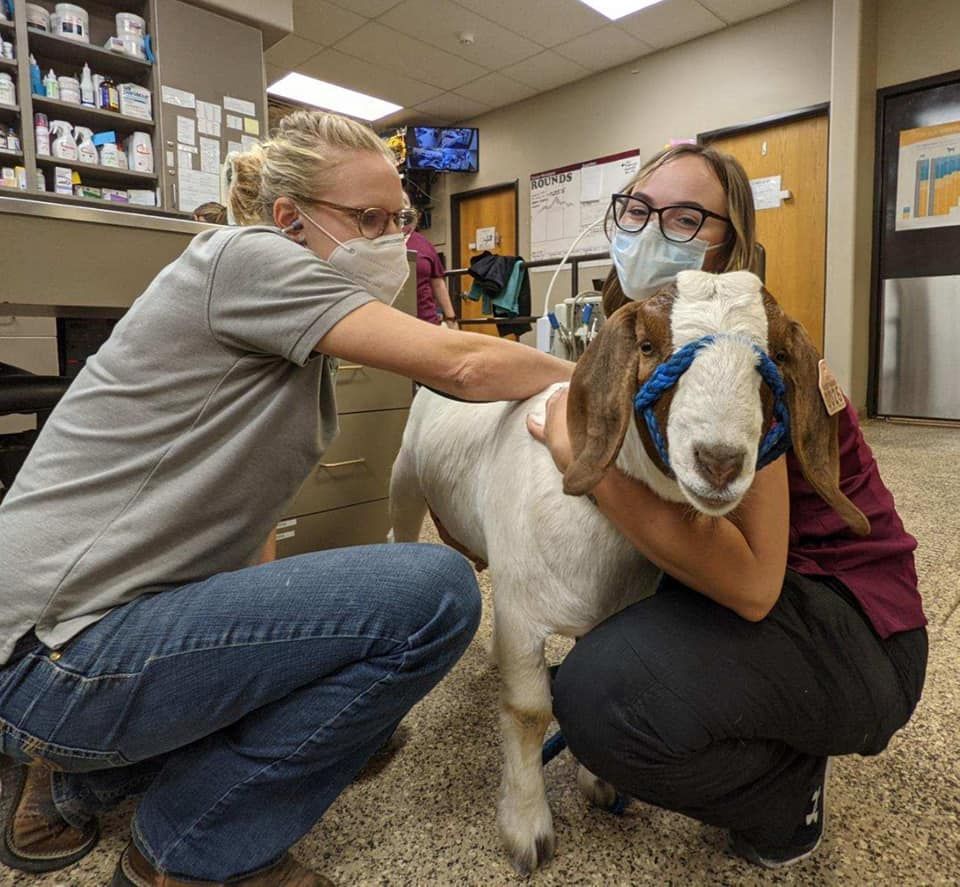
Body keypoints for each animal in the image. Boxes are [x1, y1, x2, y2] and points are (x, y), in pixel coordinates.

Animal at [386, 268, 868, 876]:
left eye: (777, 356)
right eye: (647, 346)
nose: (719, 462)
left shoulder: (601, 614)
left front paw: (598, 783)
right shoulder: (522, 611)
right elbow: (528, 710)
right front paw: (526, 827)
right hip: (404, 481)